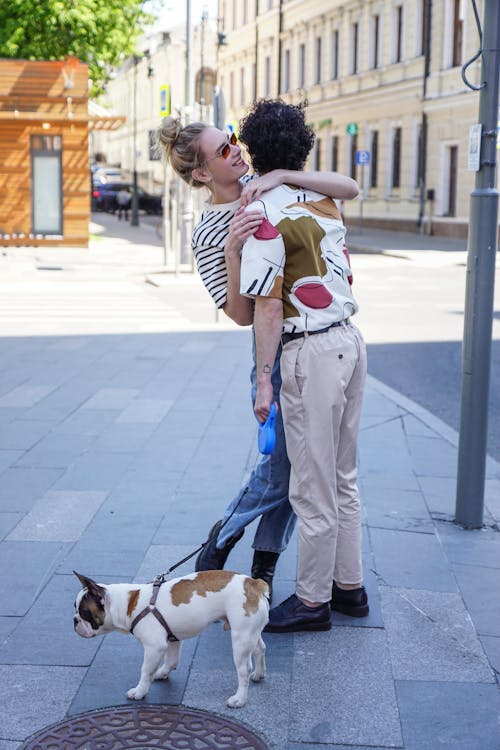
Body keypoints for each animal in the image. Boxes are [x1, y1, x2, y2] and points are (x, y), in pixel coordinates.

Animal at [73, 572, 270, 708]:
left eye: (84, 612)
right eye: (76, 608)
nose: (74, 620)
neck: (128, 604)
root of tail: (254, 583)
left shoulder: (154, 647)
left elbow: (145, 670)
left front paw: (140, 691)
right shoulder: (173, 639)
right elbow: (171, 660)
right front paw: (162, 672)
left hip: (240, 638)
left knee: (243, 670)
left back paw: (239, 699)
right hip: (251, 632)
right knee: (260, 648)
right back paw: (259, 674)